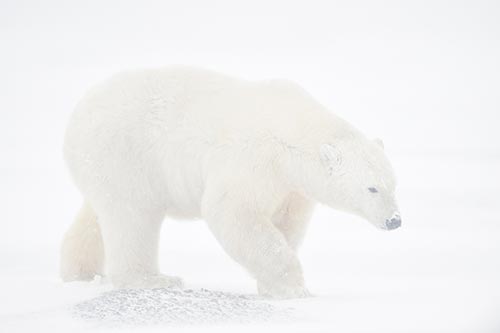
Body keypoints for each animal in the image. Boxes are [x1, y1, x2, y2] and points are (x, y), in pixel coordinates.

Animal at [59, 66, 402, 296]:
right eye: (371, 188)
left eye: (393, 183)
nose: (395, 220)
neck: (293, 132)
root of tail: (75, 117)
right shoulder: (254, 158)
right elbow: (234, 212)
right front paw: (293, 288)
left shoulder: (291, 185)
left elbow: (287, 221)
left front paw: (271, 286)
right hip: (126, 152)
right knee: (132, 217)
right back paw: (153, 279)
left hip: (103, 164)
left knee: (97, 214)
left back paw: (80, 272)